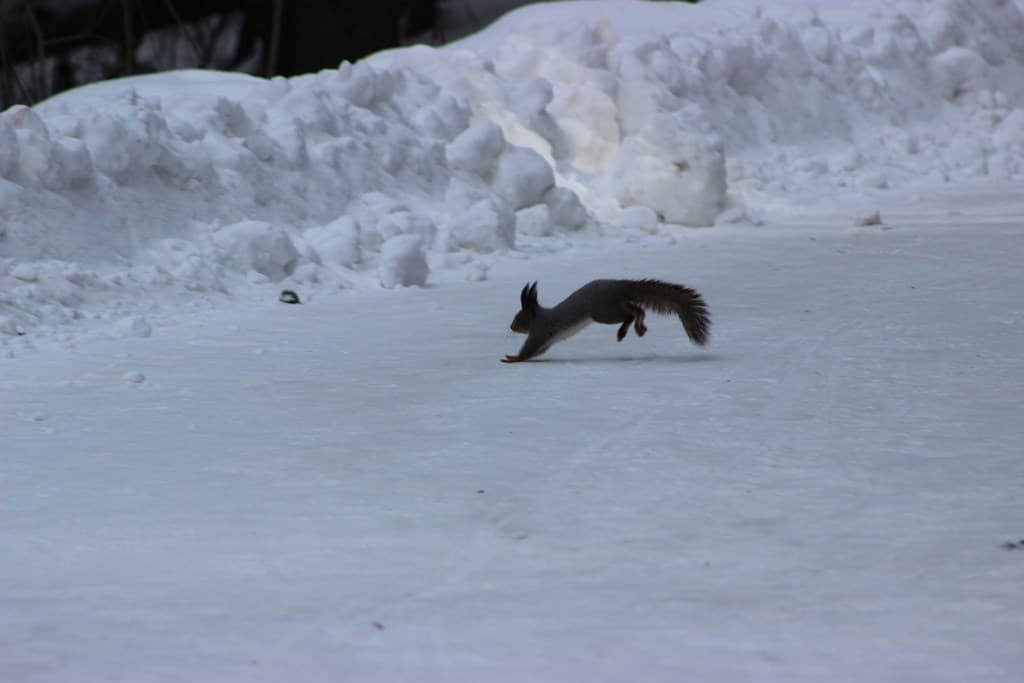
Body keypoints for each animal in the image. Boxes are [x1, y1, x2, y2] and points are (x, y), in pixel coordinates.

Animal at [503, 278, 712, 362]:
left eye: (518, 318)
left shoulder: (540, 331)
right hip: (613, 307)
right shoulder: (547, 340)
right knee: (637, 309)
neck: (540, 316)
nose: (511, 327)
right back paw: (638, 328)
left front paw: (513, 358)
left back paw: (626, 330)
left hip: (604, 312)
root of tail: (620, 286)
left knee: (633, 312)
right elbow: (538, 351)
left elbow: (529, 349)